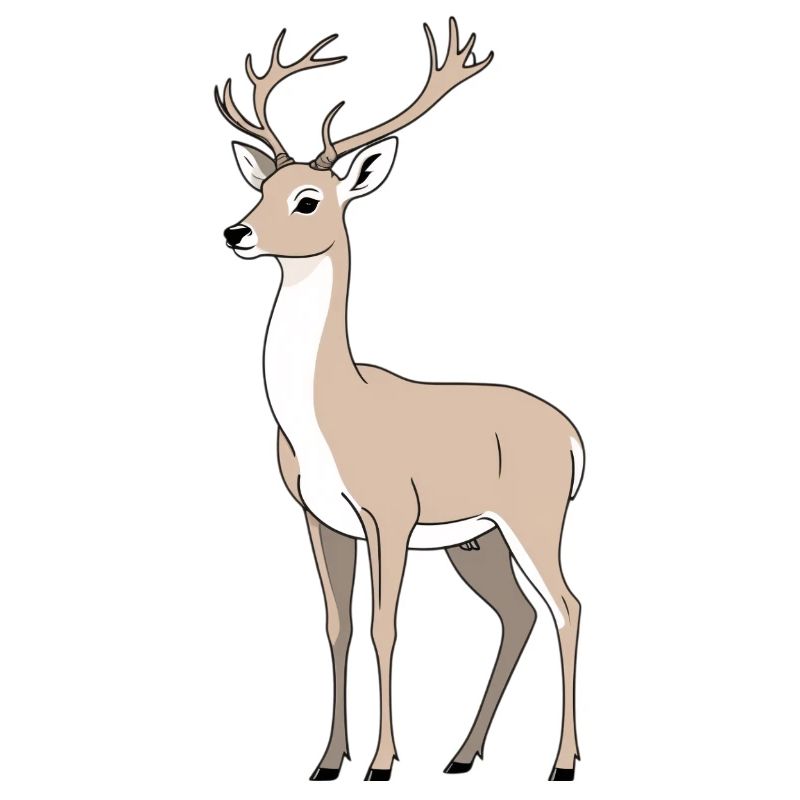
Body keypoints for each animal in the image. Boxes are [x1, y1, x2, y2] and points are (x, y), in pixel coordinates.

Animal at [215, 18, 584, 783]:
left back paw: (562, 762)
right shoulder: (320, 518)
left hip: (534, 517)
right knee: (519, 615)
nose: (235, 232)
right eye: (265, 187)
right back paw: (462, 755)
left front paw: (382, 762)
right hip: (478, 538)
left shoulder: (390, 512)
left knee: (567, 605)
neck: (330, 414)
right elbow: (338, 626)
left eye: (308, 199)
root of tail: (573, 437)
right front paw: (327, 761)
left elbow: (386, 626)